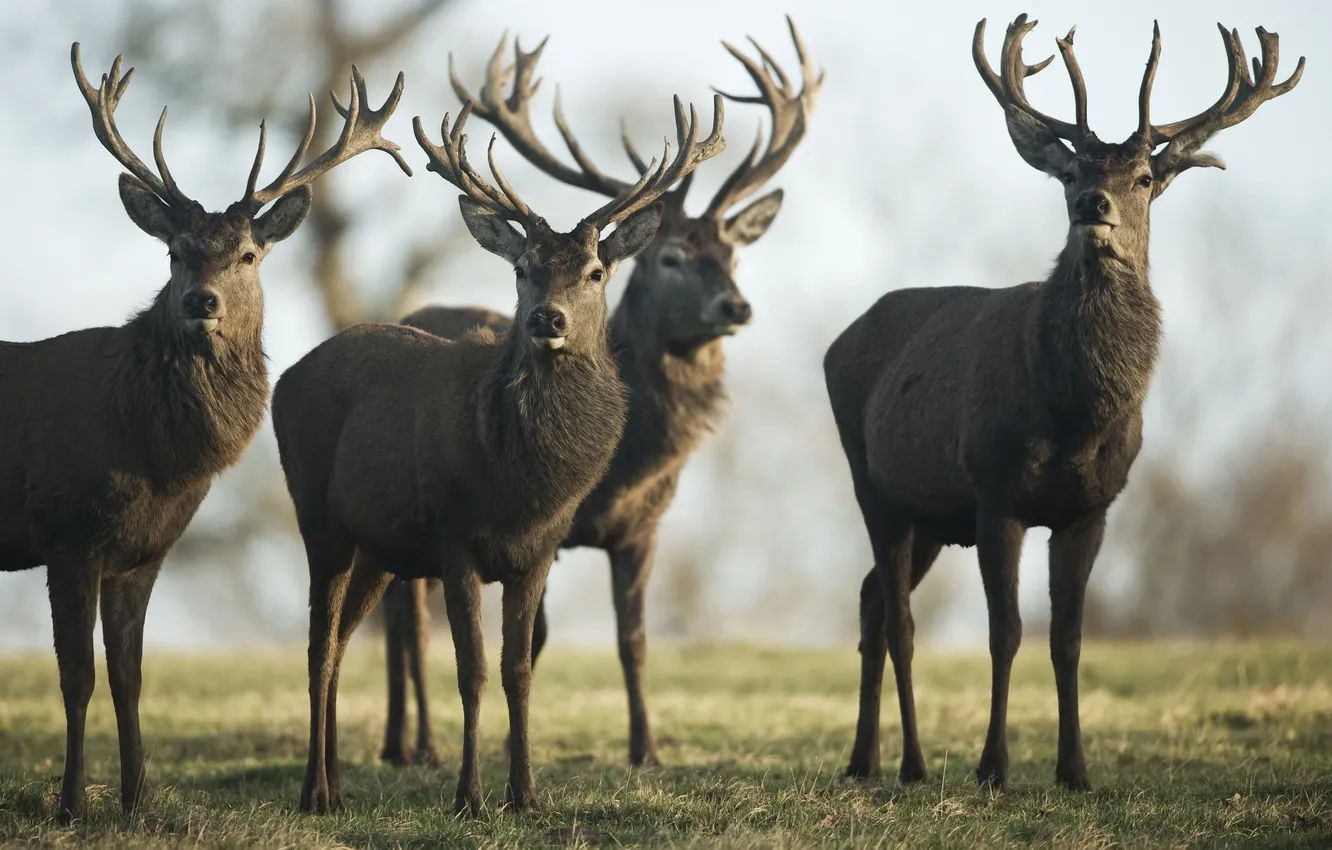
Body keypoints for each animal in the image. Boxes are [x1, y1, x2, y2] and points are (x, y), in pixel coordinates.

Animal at [0, 45, 409, 821]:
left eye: (248, 254)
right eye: (175, 252)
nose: (201, 301)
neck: (153, 455)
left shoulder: (144, 552)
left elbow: (129, 677)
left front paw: (136, 802)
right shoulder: (66, 532)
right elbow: (77, 679)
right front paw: (69, 806)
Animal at [270, 79, 725, 814]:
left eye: (596, 271)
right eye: (522, 268)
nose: (548, 319)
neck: (522, 485)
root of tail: (285, 378)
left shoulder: (539, 549)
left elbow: (519, 668)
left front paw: (527, 793)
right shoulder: (453, 535)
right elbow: (473, 669)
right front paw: (469, 797)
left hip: (378, 548)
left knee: (339, 643)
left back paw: (337, 781)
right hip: (320, 518)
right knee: (319, 647)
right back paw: (318, 792)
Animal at [375, 19, 821, 770]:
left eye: (733, 254)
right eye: (670, 257)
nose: (736, 306)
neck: (629, 465)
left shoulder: (644, 527)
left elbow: (632, 640)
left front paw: (645, 750)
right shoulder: (541, 530)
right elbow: (532, 642)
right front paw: (511, 748)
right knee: (405, 619)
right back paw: (415, 746)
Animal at [824, 15, 1303, 792]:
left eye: (1144, 177)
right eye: (1073, 173)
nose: (1092, 207)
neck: (1075, 415)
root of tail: (838, 342)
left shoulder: (1092, 507)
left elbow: (1069, 639)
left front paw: (1075, 769)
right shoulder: (996, 495)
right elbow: (1006, 633)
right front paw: (993, 767)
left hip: (931, 514)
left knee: (870, 601)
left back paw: (863, 760)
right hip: (874, 483)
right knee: (899, 620)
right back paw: (912, 764)